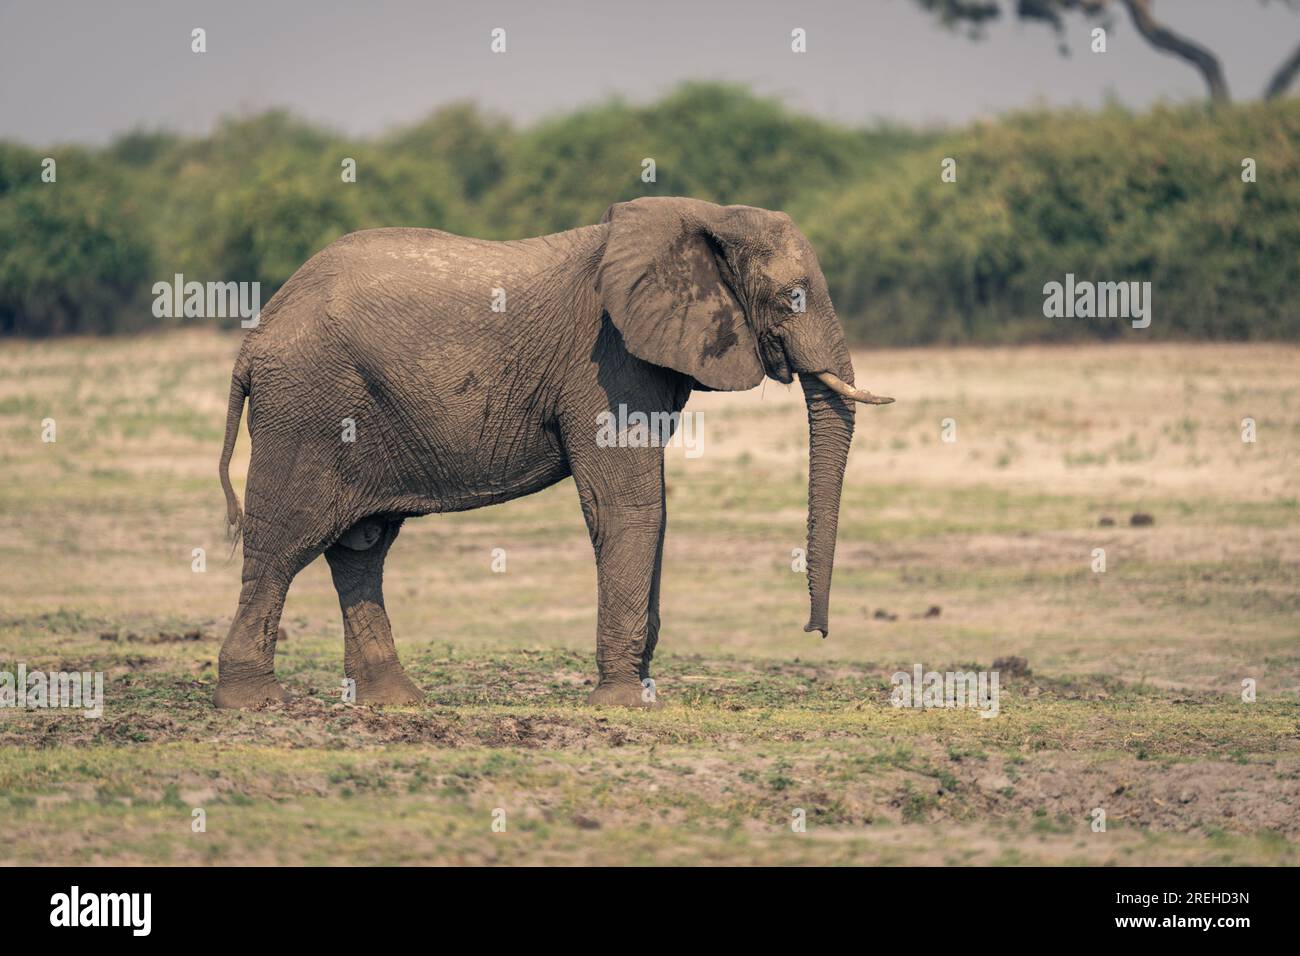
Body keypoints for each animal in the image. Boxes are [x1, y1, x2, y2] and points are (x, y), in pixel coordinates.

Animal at [214, 196, 892, 709]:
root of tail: (255, 336)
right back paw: (253, 702)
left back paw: (396, 700)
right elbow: (629, 507)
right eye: (793, 297)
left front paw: (641, 690)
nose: (814, 630)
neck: (708, 215)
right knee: (283, 541)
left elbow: (654, 508)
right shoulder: (606, 360)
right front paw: (624, 703)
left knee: (361, 547)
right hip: (308, 406)